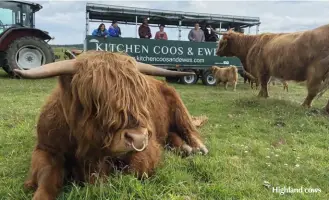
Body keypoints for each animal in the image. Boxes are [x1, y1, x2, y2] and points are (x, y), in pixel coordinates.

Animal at [14, 50, 208, 199]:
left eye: (142, 97)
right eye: (95, 100)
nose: (138, 138)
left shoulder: (148, 148)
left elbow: (133, 169)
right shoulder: (46, 148)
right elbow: (47, 177)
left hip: (178, 104)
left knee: (188, 129)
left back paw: (197, 148)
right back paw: (185, 148)